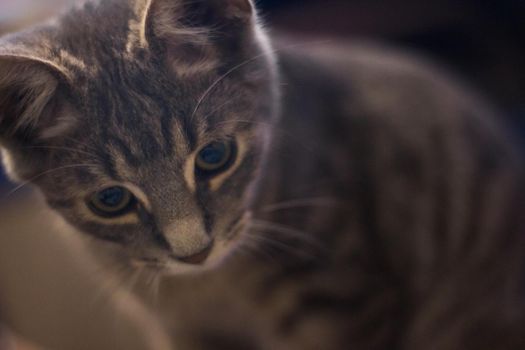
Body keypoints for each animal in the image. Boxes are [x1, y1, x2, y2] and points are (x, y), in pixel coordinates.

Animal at [0, 0, 520, 350]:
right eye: (110, 201)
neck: (214, 288)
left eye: (214, 155)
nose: (195, 253)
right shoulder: (180, 330)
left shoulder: (348, 305)